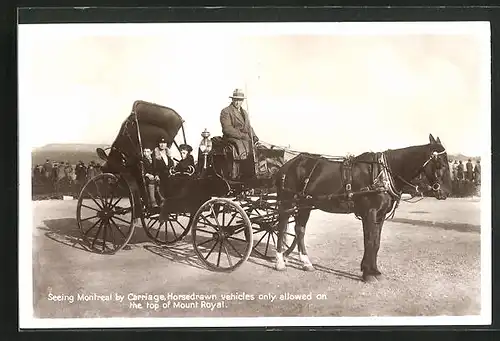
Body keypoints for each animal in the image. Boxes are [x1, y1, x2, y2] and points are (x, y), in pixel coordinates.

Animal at [274, 133, 454, 282]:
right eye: (440, 163)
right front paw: (368, 273)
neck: (382, 174)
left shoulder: (380, 215)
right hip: (287, 202)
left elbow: (376, 242)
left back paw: (306, 262)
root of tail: (289, 164)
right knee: (282, 226)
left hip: (305, 204)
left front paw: (374, 270)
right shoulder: (370, 213)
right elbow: (370, 241)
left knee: (299, 229)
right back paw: (280, 261)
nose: (446, 192)